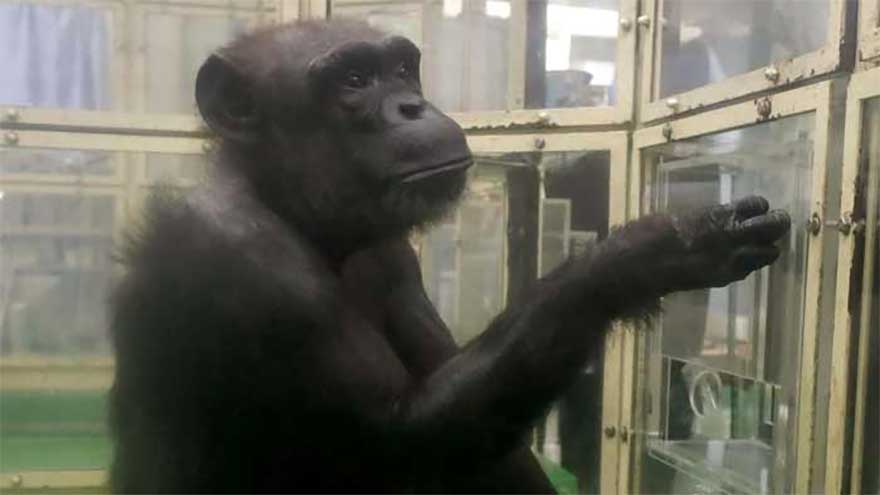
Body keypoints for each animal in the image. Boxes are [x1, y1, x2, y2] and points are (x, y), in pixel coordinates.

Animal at [108, 19, 792, 493]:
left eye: (402, 69)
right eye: (353, 81)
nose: (412, 106)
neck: (289, 203)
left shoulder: (394, 258)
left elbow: (468, 391)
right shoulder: (240, 259)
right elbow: (404, 436)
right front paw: (657, 249)